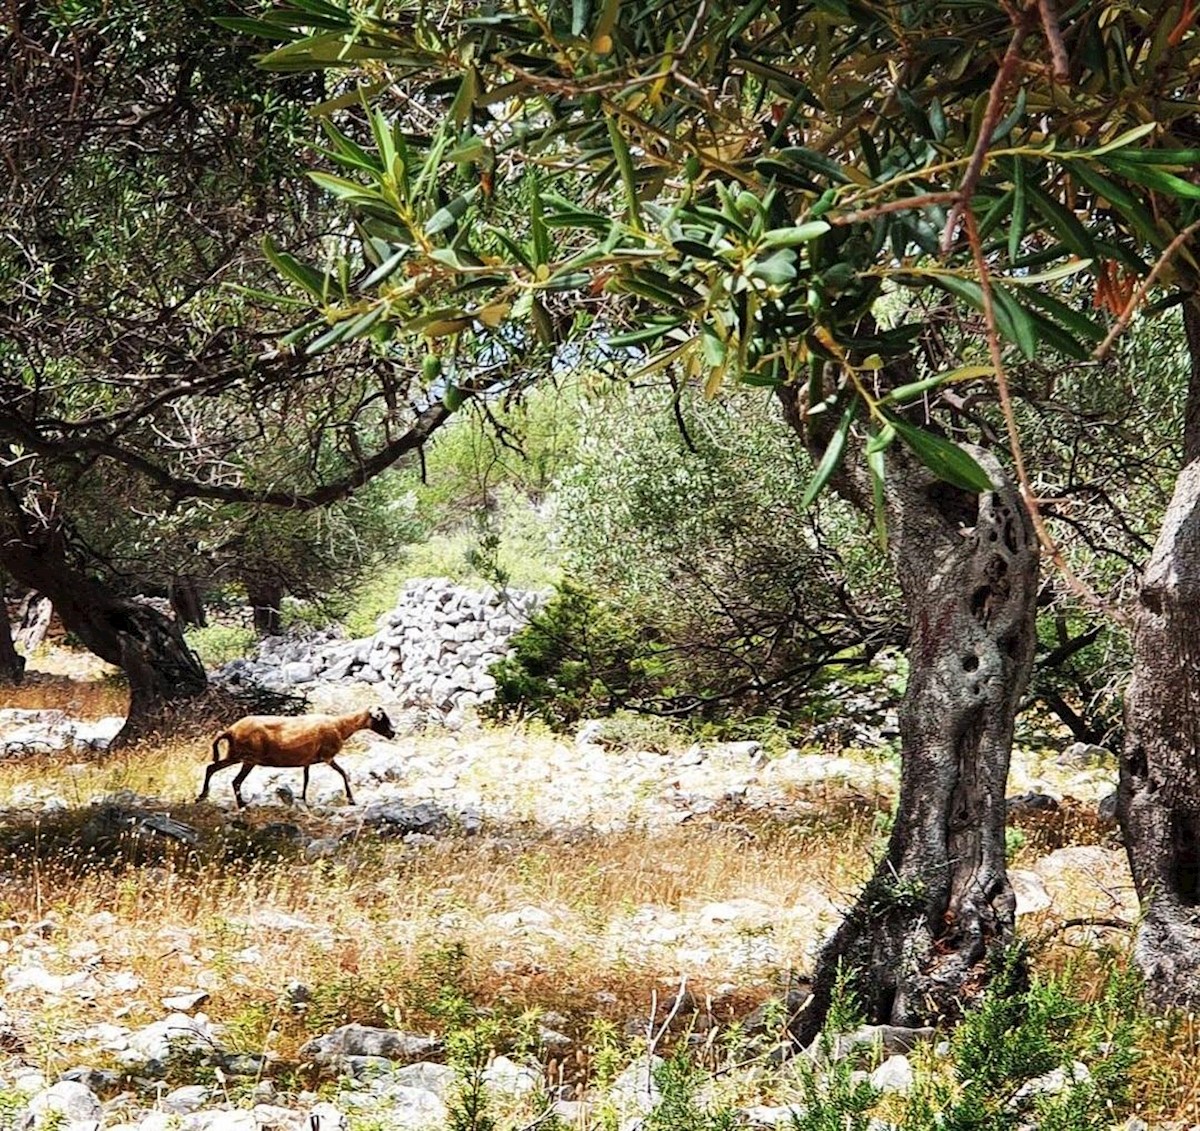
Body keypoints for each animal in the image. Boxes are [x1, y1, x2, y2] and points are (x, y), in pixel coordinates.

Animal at [199, 705, 396, 811]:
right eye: (382, 718)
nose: (393, 733)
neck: (341, 726)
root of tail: (231, 730)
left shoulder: (307, 761)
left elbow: (306, 779)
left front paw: (303, 799)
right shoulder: (327, 757)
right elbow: (343, 773)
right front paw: (351, 799)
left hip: (236, 756)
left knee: (212, 768)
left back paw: (203, 796)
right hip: (247, 758)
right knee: (234, 780)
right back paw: (240, 804)